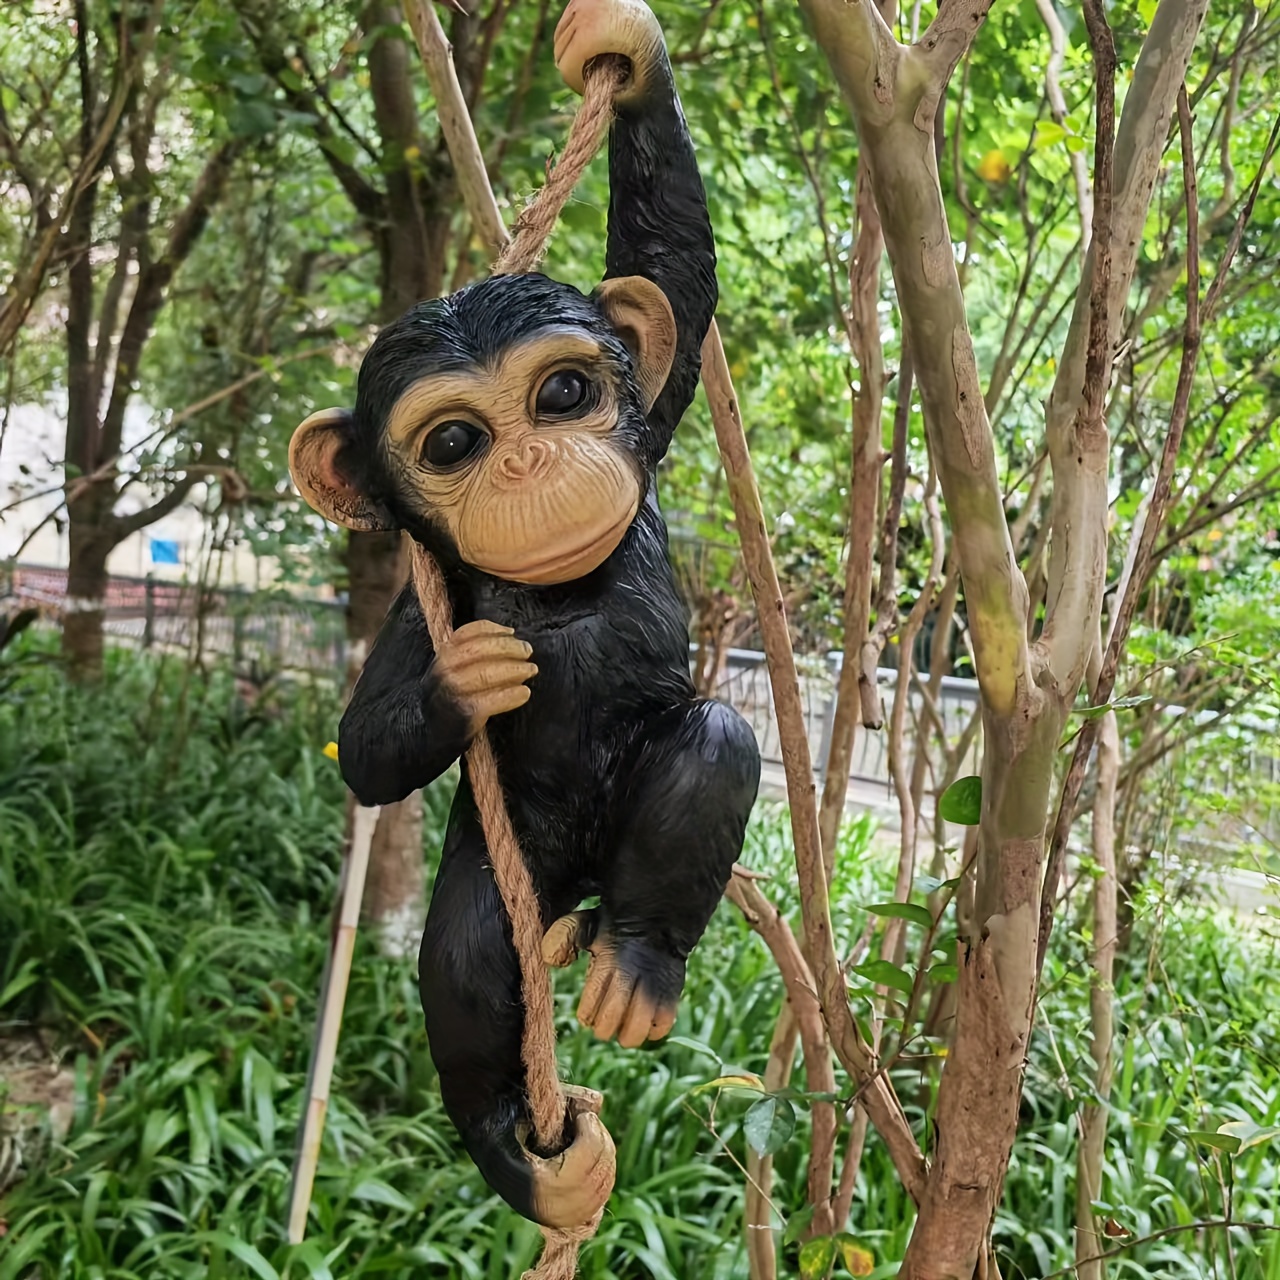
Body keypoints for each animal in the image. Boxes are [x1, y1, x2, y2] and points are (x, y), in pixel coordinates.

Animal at [287, 0, 760, 1229]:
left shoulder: (656, 417)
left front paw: (628, 58)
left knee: (714, 738)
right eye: (455, 441)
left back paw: (634, 963)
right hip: (512, 871)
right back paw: (519, 1150)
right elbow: (365, 750)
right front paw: (468, 684)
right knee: (466, 950)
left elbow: (676, 279)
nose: (529, 462)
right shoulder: (424, 604)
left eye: (563, 393)